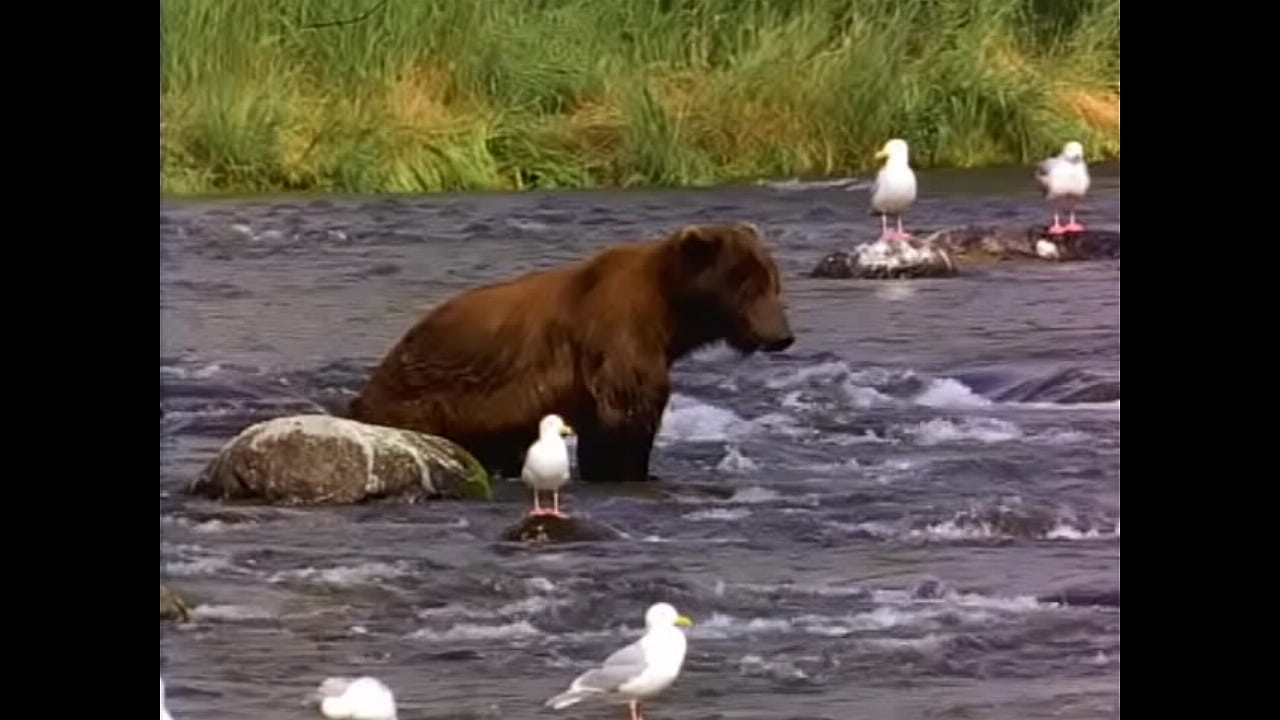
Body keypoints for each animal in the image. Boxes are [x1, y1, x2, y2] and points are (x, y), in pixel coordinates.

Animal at [348, 222, 795, 483]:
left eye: (774, 282)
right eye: (747, 286)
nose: (782, 335)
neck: (670, 315)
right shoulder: (615, 335)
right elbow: (624, 416)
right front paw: (624, 469)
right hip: (428, 399)